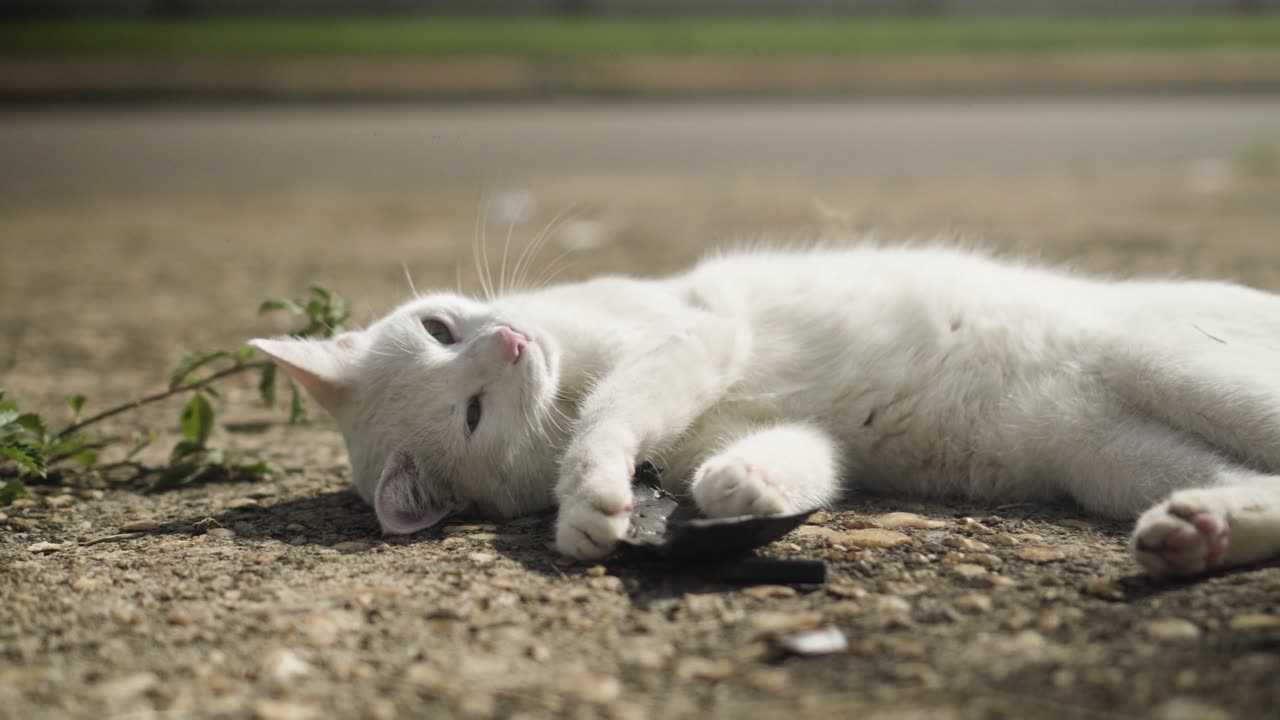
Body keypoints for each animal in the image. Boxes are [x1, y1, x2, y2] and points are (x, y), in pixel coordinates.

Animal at [254, 245, 1280, 576]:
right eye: (471, 413)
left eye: (438, 327)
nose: (507, 343)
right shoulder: (761, 421)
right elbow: (792, 457)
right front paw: (743, 486)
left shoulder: (696, 335)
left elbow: (615, 407)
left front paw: (587, 493)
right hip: (1115, 455)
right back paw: (1201, 531)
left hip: (1183, 370)